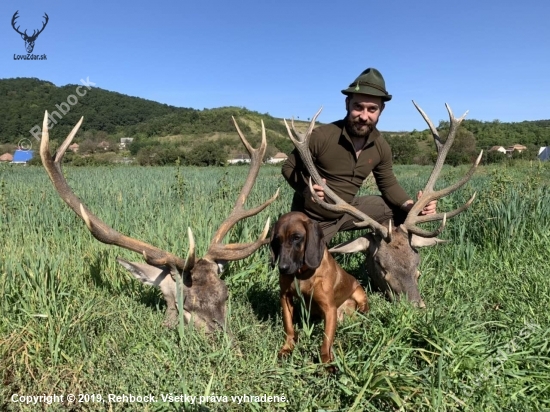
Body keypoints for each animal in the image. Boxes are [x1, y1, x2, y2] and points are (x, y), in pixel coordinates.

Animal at [270, 212, 368, 366]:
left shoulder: (329, 308)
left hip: (359, 293)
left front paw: (327, 361)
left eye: (296, 237)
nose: (283, 268)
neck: (302, 274)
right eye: (277, 240)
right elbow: (289, 327)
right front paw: (287, 348)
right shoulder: (285, 297)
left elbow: (326, 340)